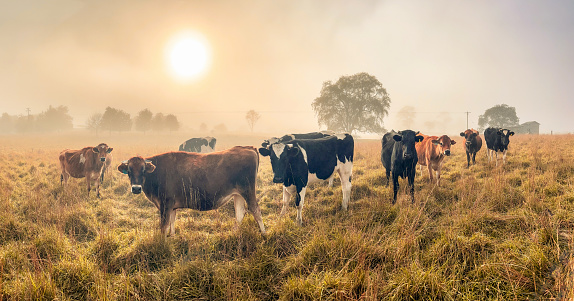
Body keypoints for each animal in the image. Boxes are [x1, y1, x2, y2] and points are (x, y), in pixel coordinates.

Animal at [119, 146, 268, 236]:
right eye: (129, 171)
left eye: (143, 169)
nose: (136, 188)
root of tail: (247, 148)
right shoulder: (171, 206)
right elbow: (172, 221)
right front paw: (172, 236)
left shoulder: (165, 204)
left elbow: (164, 225)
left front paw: (162, 242)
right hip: (238, 194)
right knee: (240, 213)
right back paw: (235, 233)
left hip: (248, 191)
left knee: (256, 210)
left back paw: (264, 234)